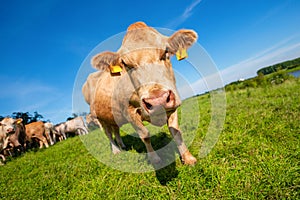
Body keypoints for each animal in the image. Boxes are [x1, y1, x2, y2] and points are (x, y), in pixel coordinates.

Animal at [82, 21, 198, 164]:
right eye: (125, 64)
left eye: (165, 52)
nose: (157, 100)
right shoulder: (128, 111)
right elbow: (145, 135)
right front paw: (155, 159)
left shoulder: (172, 102)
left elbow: (175, 130)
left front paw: (188, 158)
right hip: (99, 117)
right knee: (108, 133)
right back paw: (116, 150)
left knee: (116, 130)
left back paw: (122, 146)